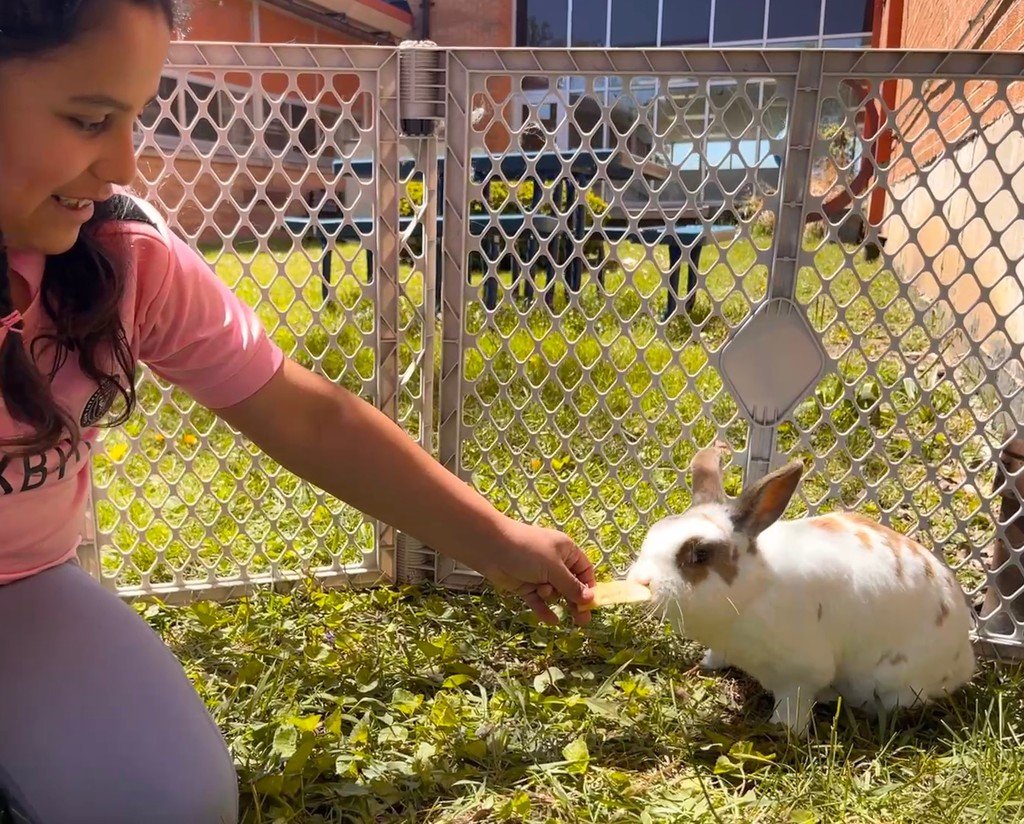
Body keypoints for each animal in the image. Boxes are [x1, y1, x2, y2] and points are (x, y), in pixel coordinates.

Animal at [625, 443, 976, 735]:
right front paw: (707, 664)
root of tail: (965, 660)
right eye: (655, 531)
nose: (641, 581)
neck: (750, 594)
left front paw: (783, 731)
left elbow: (794, 704)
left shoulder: (799, 676)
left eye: (700, 554)